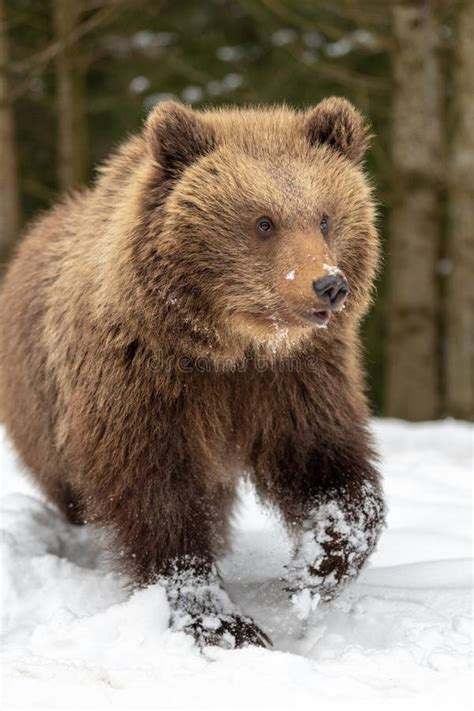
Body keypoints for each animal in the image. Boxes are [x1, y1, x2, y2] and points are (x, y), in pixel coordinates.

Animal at [0, 98, 386, 652]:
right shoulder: (144, 384)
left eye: (325, 217)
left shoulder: (296, 382)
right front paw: (223, 623)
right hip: (40, 413)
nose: (328, 284)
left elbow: (328, 470)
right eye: (263, 222)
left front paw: (313, 569)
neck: (233, 349)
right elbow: (156, 500)